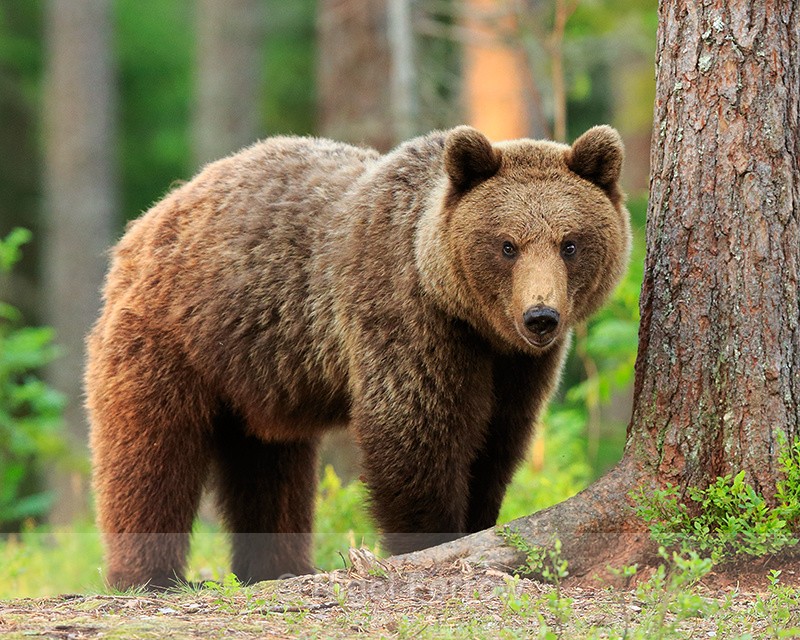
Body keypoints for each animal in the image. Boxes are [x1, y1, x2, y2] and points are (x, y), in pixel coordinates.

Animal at [85, 124, 631, 590]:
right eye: (507, 245)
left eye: (570, 243)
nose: (541, 317)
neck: (466, 314)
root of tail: (150, 219)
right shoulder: (405, 315)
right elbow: (415, 431)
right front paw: (432, 540)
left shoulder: (515, 366)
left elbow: (497, 442)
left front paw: (479, 520)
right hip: (175, 338)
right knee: (151, 453)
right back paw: (149, 576)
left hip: (258, 369)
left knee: (270, 469)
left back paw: (277, 566)